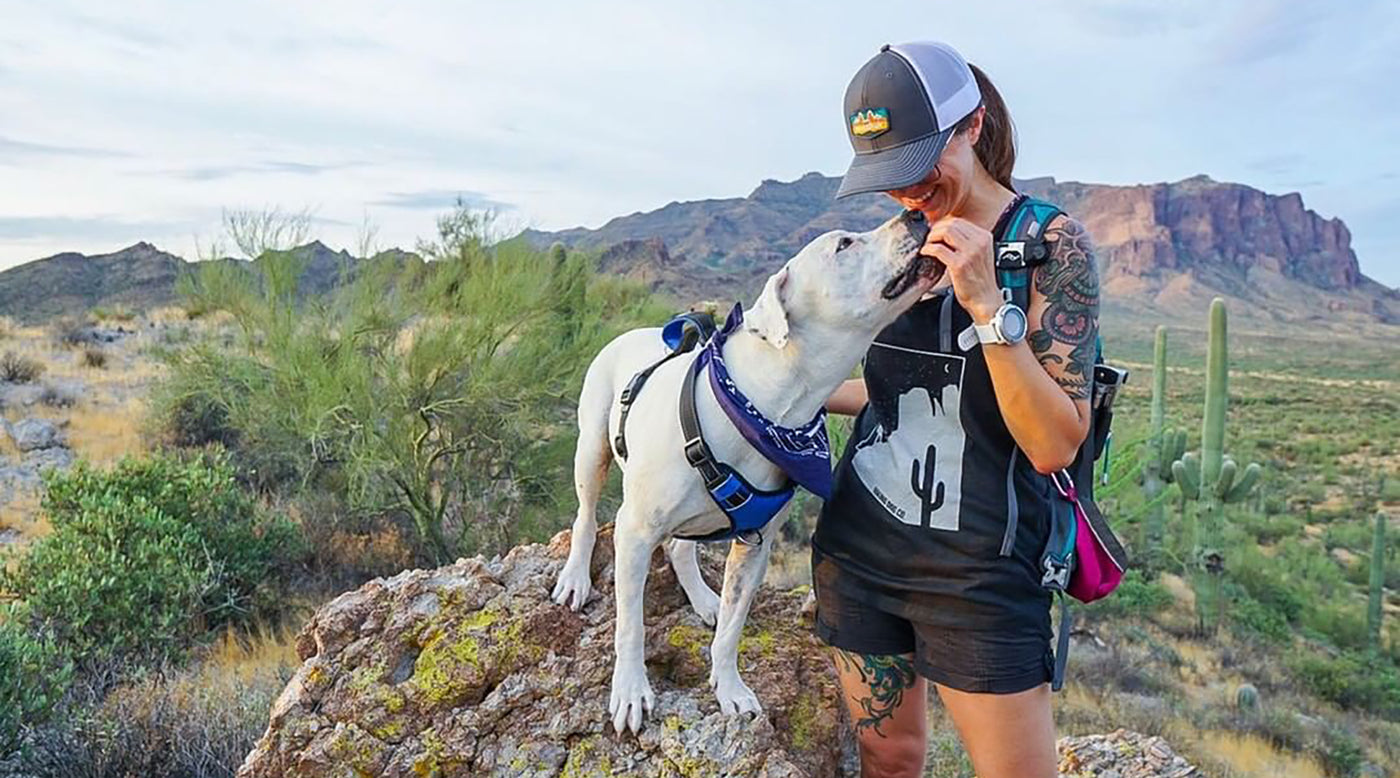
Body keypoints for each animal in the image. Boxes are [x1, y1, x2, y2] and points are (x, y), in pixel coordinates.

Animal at [551, 205, 935, 727]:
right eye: (844, 244)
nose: (916, 214)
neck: (766, 406)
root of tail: (634, 332)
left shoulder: (755, 546)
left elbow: (732, 628)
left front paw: (730, 687)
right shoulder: (634, 531)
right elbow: (630, 623)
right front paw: (630, 689)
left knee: (680, 548)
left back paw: (702, 598)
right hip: (591, 448)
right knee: (587, 517)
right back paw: (574, 577)